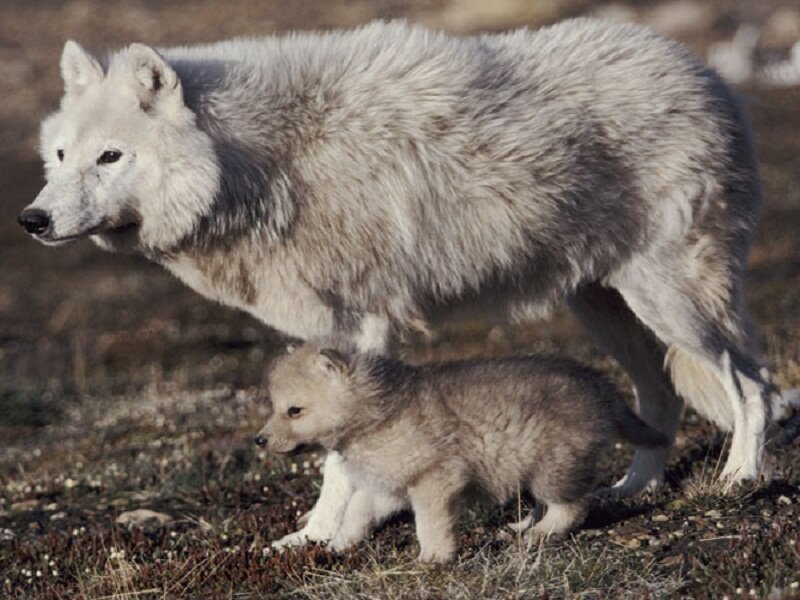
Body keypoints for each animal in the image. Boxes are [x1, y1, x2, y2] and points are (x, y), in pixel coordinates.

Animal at [256, 342, 669, 561]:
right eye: (275, 407)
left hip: (552, 465)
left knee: (573, 506)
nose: (259, 440)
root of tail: (602, 388)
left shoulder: (435, 480)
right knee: (547, 503)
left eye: (294, 410)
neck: (378, 413)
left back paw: (540, 534)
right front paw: (337, 546)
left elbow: (429, 524)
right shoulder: (389, 487)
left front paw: (434, 558)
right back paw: (522, 526)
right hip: (535, 466)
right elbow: (355, 515)